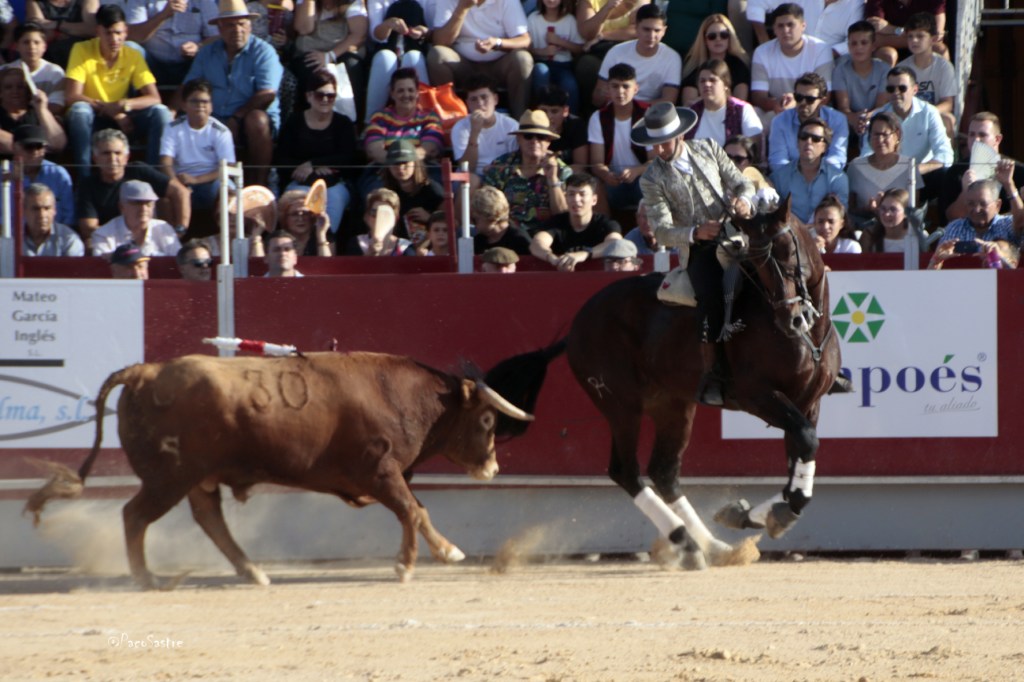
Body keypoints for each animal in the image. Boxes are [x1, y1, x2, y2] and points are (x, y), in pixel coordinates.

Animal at [25, 351, 536, 589]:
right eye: (487, 421)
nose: (492, 467)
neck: (405, 396)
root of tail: (144, 371)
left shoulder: (388, 478)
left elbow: (418, 510)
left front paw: (436, 554)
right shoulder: (380, 473)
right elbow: (412, 511)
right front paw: (417, 563)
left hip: (195, 479)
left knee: (208, 520)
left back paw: (253, 572)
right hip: (169, 477)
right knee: (135, 515)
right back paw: (147, 578)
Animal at [486, 197, 843, 569]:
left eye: (788, 250)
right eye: (756, 262)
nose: (793, 319)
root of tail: (577, 326)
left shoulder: (807, 402)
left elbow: (800, 457)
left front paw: (752, 513)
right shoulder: (759, 396)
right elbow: (806, 444)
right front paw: (773, 514)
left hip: (672, 404)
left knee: (664, 472)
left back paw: (714, 546)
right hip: (621, 406)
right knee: (626, 470)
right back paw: (685, 542)